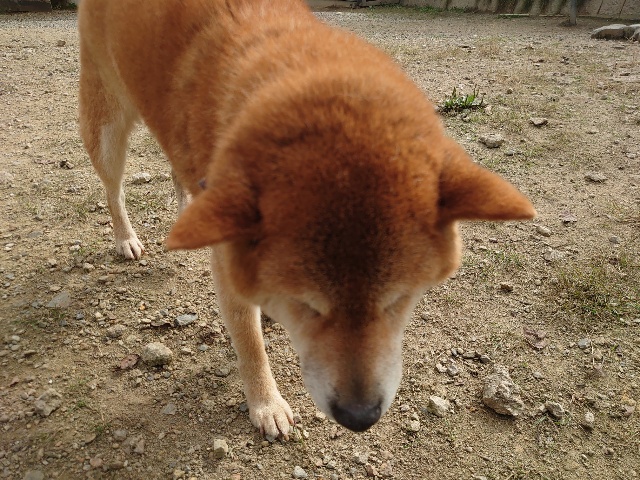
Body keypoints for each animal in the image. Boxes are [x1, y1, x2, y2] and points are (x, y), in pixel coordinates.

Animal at [78, 0, 535, 438]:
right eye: (307, 305)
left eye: (398, 300)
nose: (359, 417)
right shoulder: (231, 268)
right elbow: (249, 342)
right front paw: (266, 404)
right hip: (107, 123)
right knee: (113, 189)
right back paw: (126, 238)